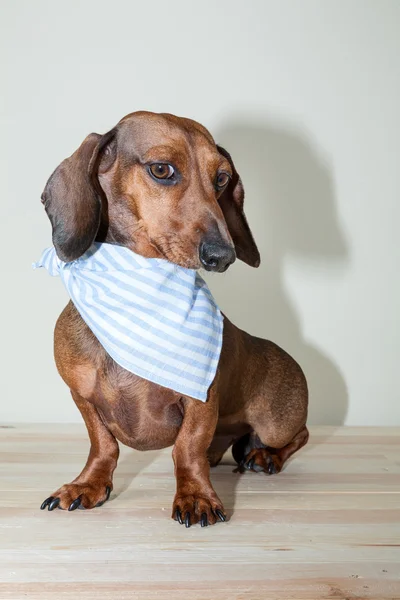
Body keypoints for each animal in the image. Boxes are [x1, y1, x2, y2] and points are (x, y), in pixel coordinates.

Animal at [39, 111, 310, 524]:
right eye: (162, 169)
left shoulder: (202, 399)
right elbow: (103, 444)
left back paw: (265, 456)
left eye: (221, 179)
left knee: (299, 435)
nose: (222, 256)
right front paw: (87, 484)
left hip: (276, 422)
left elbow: (187, 448)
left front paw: (196, 495)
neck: (140, 297)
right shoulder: (82, 395)